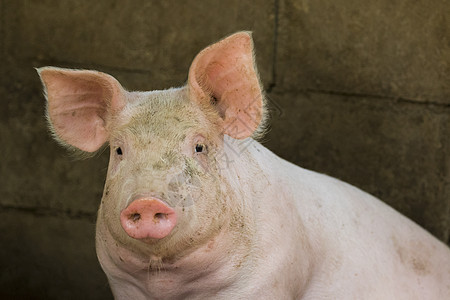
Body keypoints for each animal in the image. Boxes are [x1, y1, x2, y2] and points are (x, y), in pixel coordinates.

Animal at [37, 31, 450, 298]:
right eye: (120, 151)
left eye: (199, 147)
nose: (147, 201)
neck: (169, 283)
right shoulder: (121, 282)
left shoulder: (269, 276)